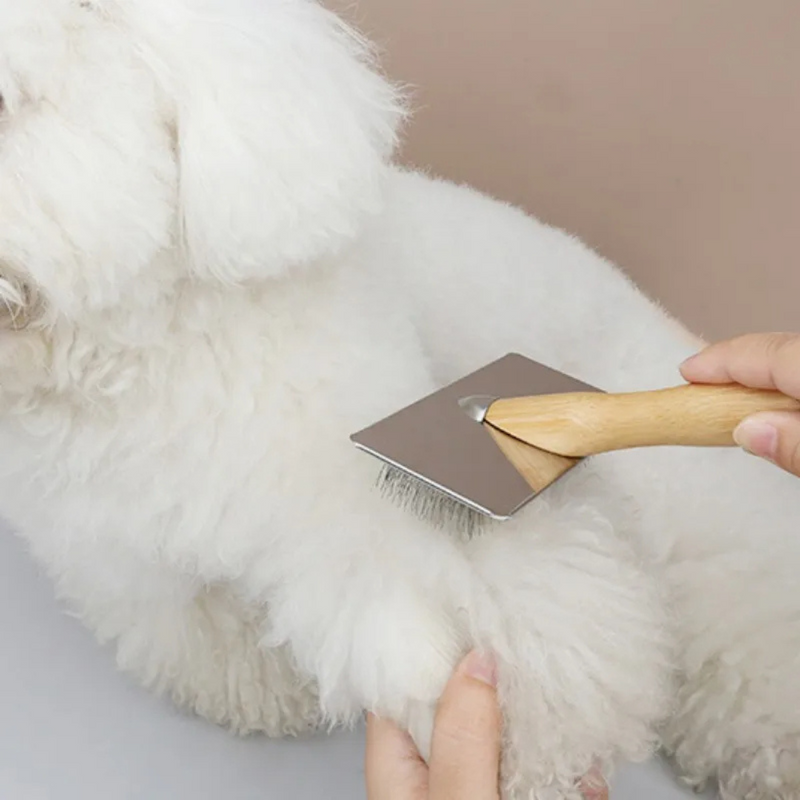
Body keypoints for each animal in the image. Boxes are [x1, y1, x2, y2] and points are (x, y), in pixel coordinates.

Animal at [1, 1, 800, 800]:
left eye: (9, 103)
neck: (130, 359)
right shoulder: (122, 557)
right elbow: (202, 629)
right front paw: (261, 691)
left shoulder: (363, 477)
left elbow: (461, 595)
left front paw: (522, 734)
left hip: (701, 523)